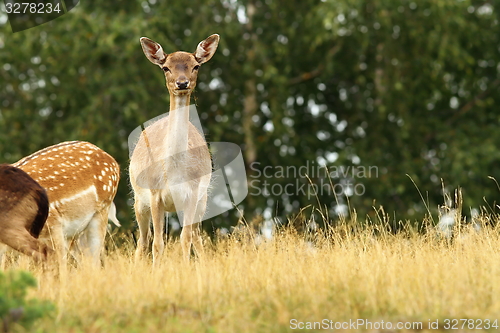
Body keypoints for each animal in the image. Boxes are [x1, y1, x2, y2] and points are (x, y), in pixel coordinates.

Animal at [130, 33, 220, 262]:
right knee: (143, 241)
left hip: (203, 201)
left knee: (197, 237)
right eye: (165, 67)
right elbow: (157, 244)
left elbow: (185, 239)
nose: (182, 83)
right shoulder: (155, 194)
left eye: (196, 66)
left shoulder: (192, 194)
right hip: (138, 200)